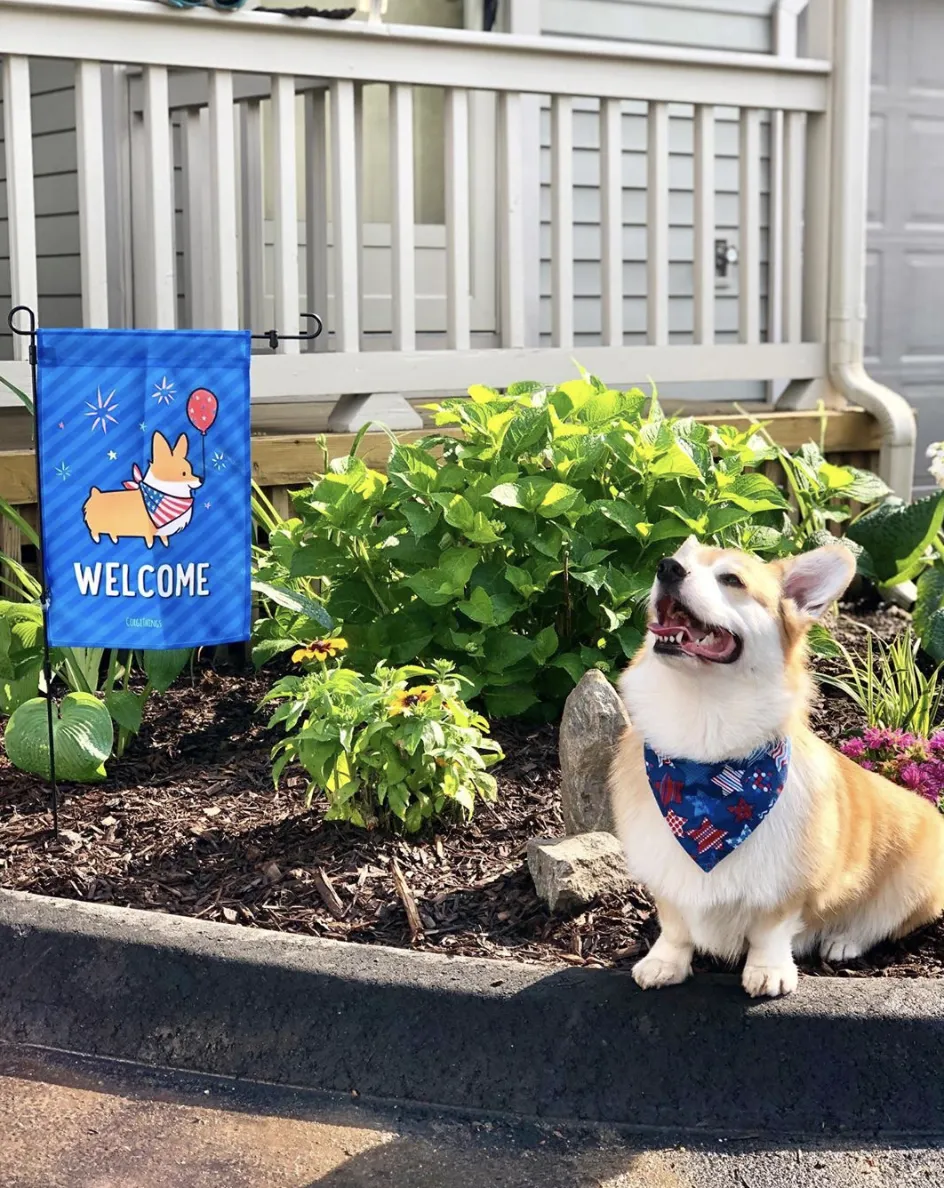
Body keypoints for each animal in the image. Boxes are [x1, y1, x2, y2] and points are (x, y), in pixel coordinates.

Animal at [607, 536, 944, 993]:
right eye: (678, 560)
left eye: (732, 579)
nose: (667, 567)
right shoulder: (666, 871)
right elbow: (675, 927)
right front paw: (663, 963)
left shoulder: (786, 883)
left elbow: (771, 930)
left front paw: (767, 971)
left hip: (914, 879)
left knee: (882, 922)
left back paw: (843, 941)